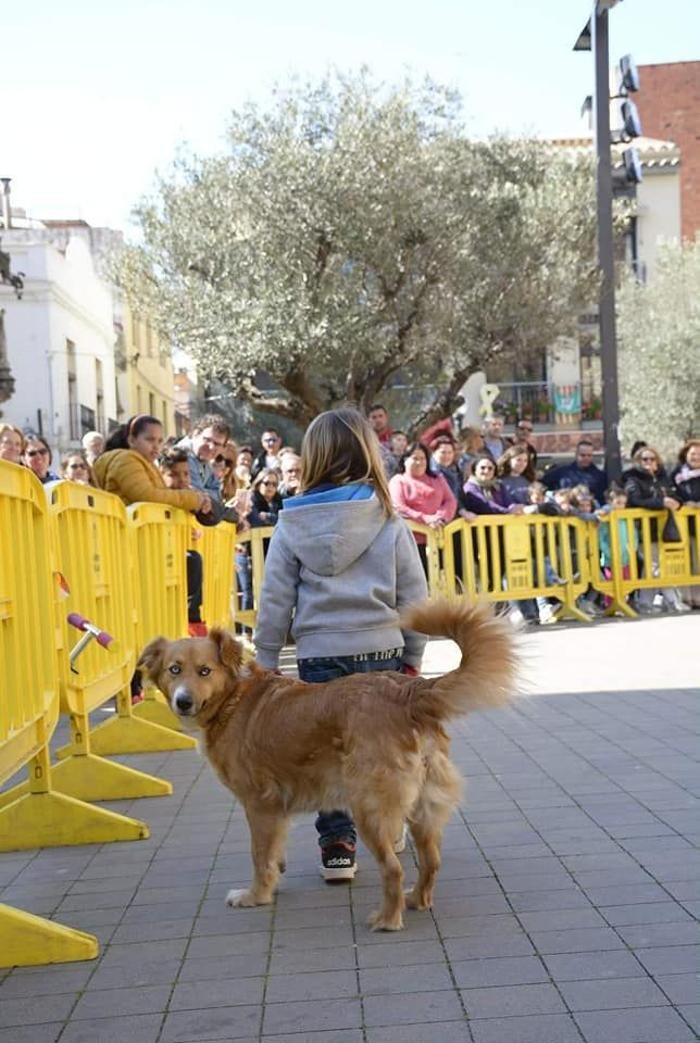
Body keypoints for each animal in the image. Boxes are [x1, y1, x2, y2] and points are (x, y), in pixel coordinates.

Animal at [138, 600, 519, 934]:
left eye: (205, 671)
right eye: (174, 669)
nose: (183, 701)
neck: (233, 698)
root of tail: (408, 691)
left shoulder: (259, 804)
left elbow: (259, 856)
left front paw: (256, 896)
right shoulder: (276, 812)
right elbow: (273, 854)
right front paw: (273, 882)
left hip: (369, 809)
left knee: (394, 870)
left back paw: (388, 919)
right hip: (423, 808)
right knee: (431, 861)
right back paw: (416, 900)